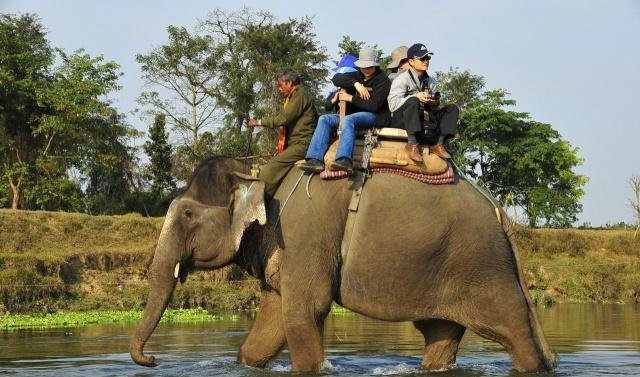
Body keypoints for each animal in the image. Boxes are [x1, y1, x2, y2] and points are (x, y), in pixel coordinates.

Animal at [129, 155, 556, 370]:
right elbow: (270, 324)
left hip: (483, 263)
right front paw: (248, 361)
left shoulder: (303, 234)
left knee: (513, 331)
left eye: (186, 214)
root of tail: (497, 209)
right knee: (441, 332)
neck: (259, 173)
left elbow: (303, 312)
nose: (152, 360)